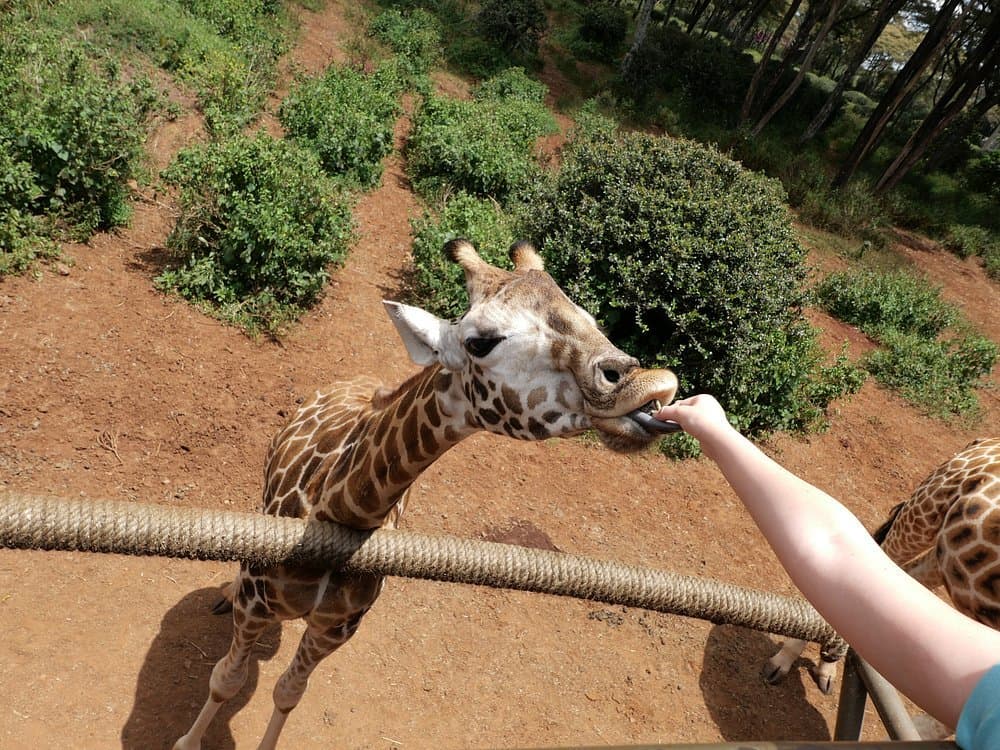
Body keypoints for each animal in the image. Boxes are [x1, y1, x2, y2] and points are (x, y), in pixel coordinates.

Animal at [172, 238, 679, 750]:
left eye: (590, 319)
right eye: (480, 341)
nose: (647, 382)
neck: (343, 512)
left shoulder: (334, 629)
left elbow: (288, 693)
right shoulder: (255, 608)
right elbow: (225, 680)